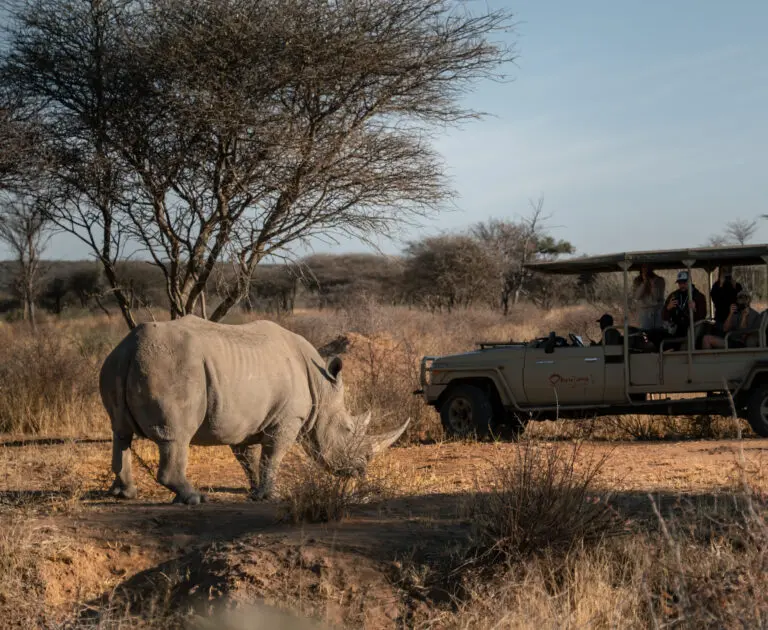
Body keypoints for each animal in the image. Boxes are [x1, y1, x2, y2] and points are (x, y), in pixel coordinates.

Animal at [99, 315, 410, 505]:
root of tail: (131, 348)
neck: (322, 387)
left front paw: (254, 489)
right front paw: (269, 496)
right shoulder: (288, 418)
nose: (360, 471)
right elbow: (272, 455)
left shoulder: (243, 420)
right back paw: (195, 499)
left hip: (118, 362)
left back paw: (125, 494)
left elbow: (248, 458)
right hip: (170, 367)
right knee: (176, 436)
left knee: (120, 432)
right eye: (347, 430)